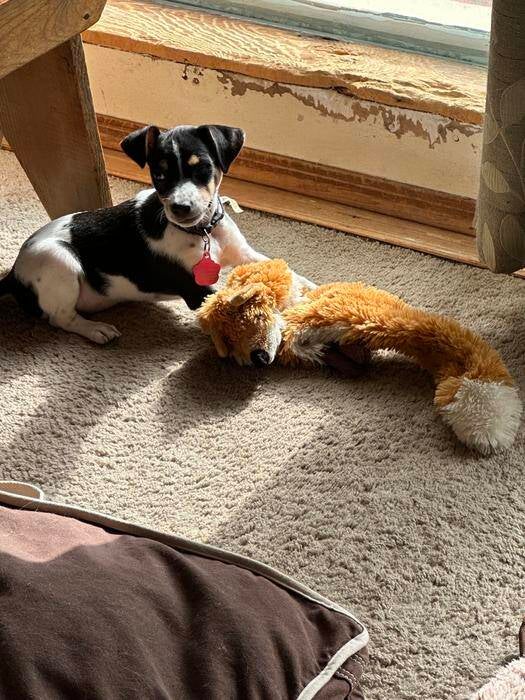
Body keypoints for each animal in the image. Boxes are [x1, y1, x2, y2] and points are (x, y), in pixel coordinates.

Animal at [0, 124, 269, 343]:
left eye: (203, 168)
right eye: (159, 175)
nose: (180, 208)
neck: (203, 231)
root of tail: (13, 273)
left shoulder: (244, 253)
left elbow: (276, 267)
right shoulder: (197, 290)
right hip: (59, 258)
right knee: (61, 318)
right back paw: (96, 329)